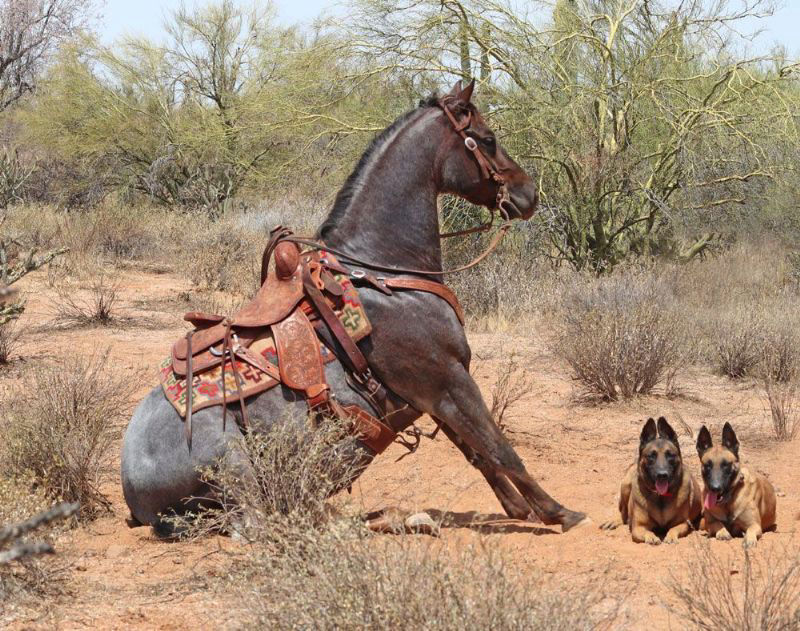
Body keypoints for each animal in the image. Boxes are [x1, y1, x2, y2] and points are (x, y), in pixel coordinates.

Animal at [121, 80, 587, 534]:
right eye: (487, 140)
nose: (528, 194)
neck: (383, 273)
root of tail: (133, 492)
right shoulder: (450, 379)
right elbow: (499, 447)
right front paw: (559, 512)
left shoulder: (433, 395)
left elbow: (477, 453)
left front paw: (519, 508)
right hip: (235, 463)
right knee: (256, 524)